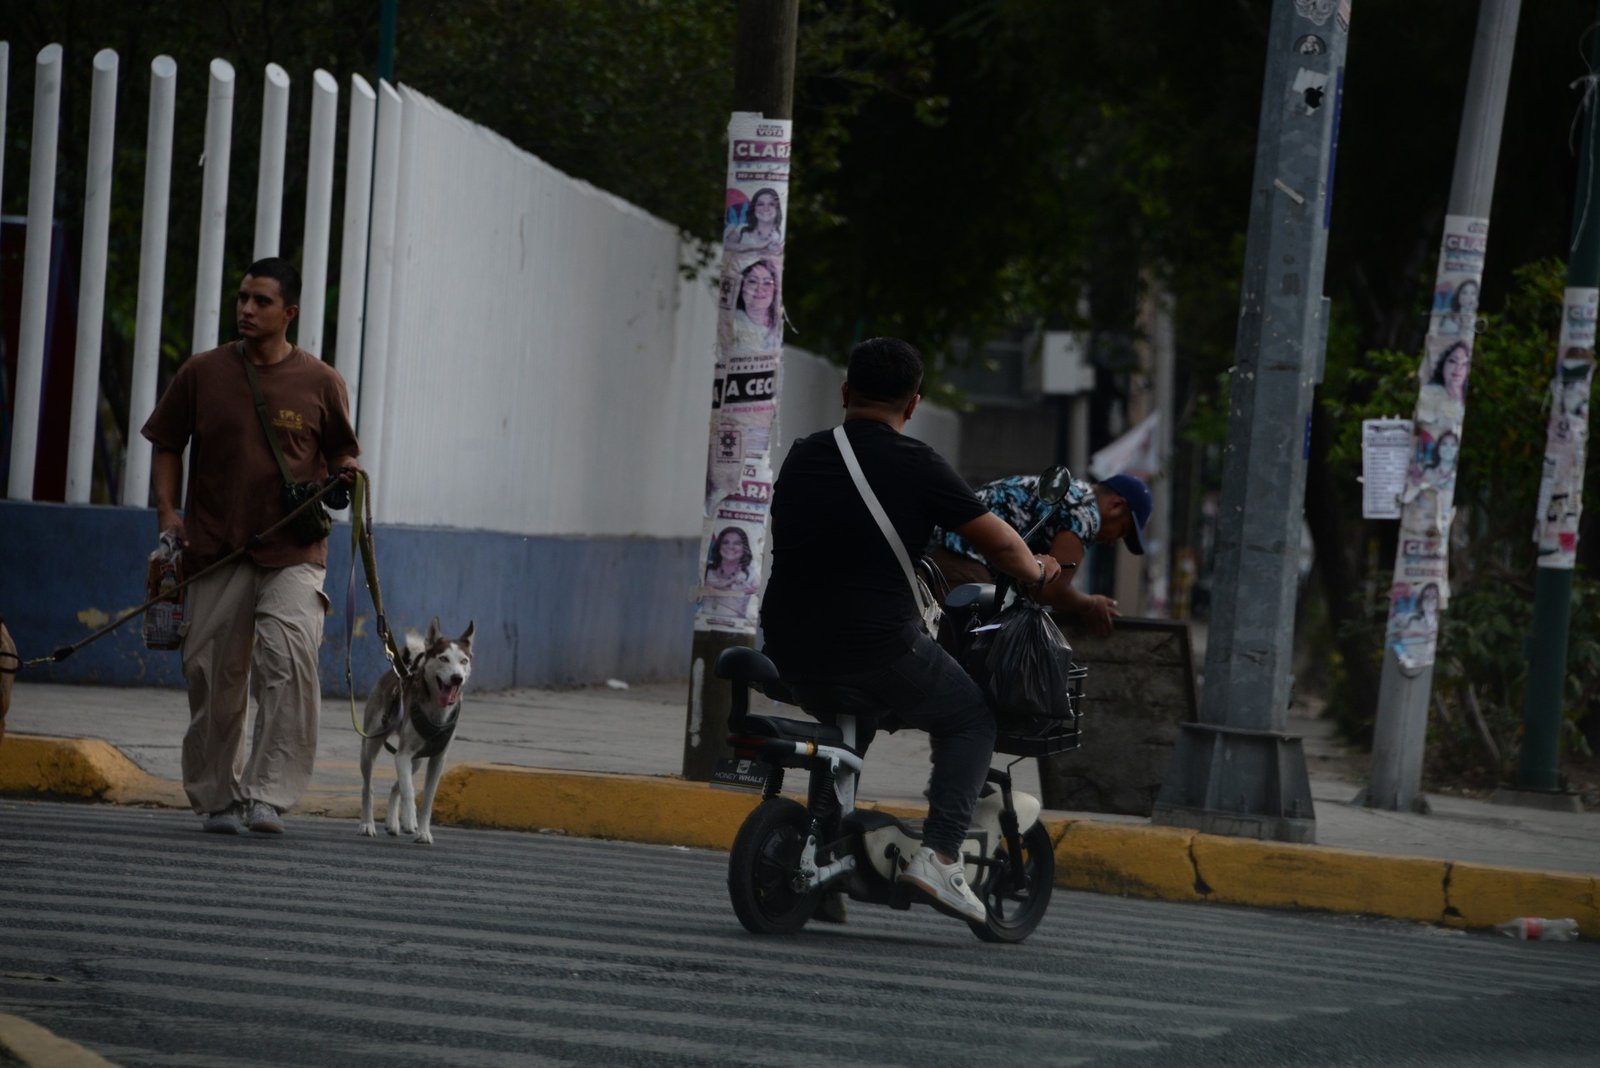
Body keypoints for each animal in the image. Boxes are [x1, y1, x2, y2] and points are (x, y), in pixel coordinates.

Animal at [358, 617, 474, 844]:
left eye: (464, 661)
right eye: (444, 658)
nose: (457, 678)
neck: (437, 712)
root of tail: (395, 673)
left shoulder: (437, 759)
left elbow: (427, 798)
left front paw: (423, 831)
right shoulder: (402, 756)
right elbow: (409, 791)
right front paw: (411, 818)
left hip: (418, 760)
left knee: (396, 787)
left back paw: (394, 824)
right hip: (370, 746)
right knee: (369, 787)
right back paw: (368, 824)